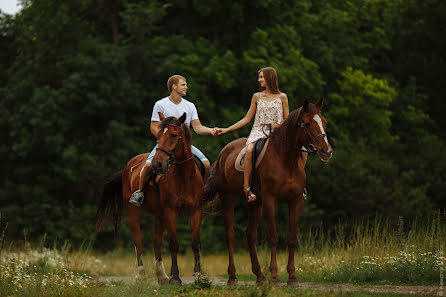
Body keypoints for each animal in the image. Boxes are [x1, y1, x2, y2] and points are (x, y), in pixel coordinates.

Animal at [96, 112, 205, 284]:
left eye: (174, 135)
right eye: (159, 136)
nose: (157, 164)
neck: (184, 177)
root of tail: (128, 166)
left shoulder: (195, 211)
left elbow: (195, 243)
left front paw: (199, 276)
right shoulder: (170, 211)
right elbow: (173, 243)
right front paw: (175, 278)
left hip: (159, 214)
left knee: (156, 239)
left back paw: (162, 276)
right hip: (133, 211)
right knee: (138, 239)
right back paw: (141, 274)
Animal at [204, 96, 332, 284]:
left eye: (324, 122)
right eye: (307, 123)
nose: (326, 151)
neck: (285, 160)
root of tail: (222, 154)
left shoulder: (295, 201)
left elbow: (291, 237)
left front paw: (292, 277)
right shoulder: (270, 201)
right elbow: (273, 237)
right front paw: (274, 276)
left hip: (254, 204)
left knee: (250, 235)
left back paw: (259, 275)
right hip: (228, 199)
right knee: (230, 235)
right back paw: (233, 276)